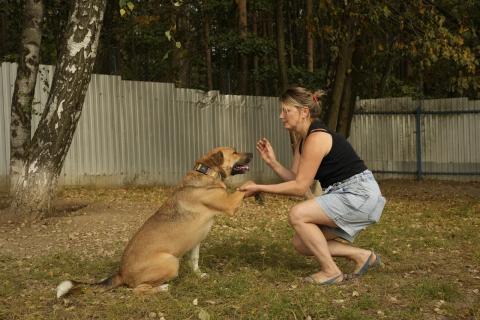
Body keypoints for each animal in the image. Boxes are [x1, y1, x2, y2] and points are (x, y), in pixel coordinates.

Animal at [57, 146, 253, 296]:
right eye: (235, 152)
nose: (251, 153)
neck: (207, 172)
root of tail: (121, 273)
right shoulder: (229, 204)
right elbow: (245, 185)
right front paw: (253, 186)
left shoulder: (196, 242)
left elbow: (195, 260)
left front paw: (199, 275)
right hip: (171, 262)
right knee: (138, 290)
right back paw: (163, 288)